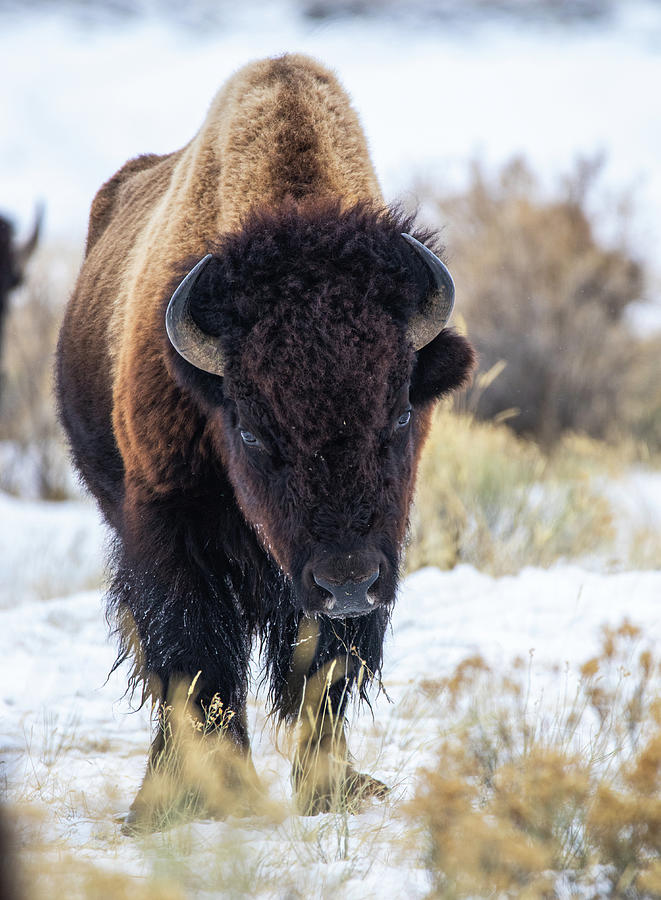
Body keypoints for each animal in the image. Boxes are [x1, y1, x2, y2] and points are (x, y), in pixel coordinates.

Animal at [55, 54, 474, 828]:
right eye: (250, 429)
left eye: (400, 416)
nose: (346, 580)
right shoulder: (169, 529)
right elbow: (194, 662)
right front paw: (208, 798)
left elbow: (324, 675)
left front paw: (335, 789)